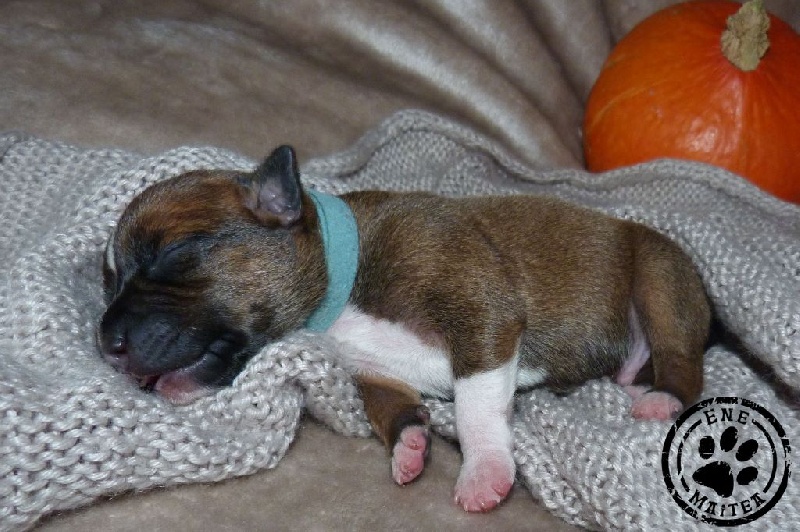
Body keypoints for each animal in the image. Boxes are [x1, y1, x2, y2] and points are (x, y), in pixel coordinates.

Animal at [99, 145, 711, 512]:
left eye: (173, 254)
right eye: (109, 282)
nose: (107, 342)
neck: (342, 289)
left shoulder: (481, 314)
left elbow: (476, 405)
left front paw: (483, 469)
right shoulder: (374, 374)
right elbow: (390, 407)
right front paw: (409, 443)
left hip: (660, 276)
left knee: (681, 356)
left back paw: (661, 398)